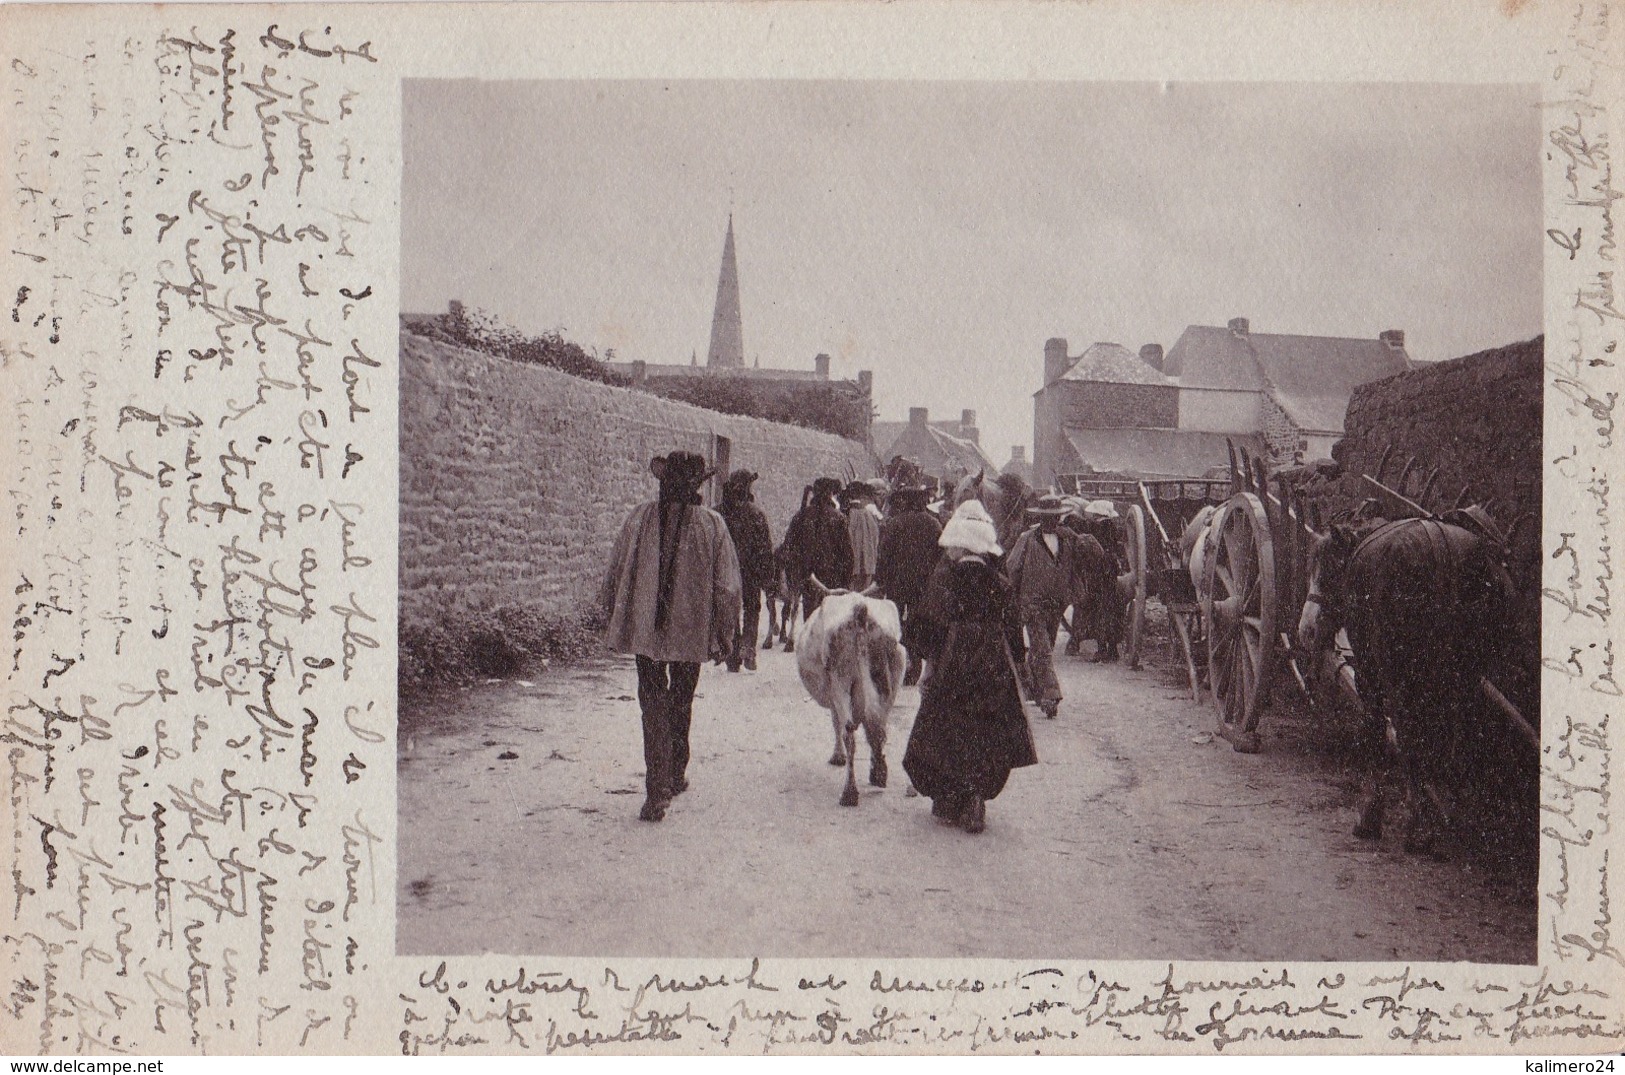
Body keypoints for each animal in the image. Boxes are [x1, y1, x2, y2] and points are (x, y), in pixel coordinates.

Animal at [793, 581, 910, 808]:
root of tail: (859, 610)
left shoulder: (832, 692)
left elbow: (836, 723)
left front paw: (837, 756)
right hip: (892, 675)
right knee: (879, 724)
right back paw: (878, 772)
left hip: (841, 679)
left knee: (849, 731)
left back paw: (849, 792)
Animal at [1287, 513, 1514, 857]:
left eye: (1328, 571)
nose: (1307, 629)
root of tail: (1437, 543)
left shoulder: (1370, 674)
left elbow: (1376, 731)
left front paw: (1370, 816)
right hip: (1466, 675)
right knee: (1456, 734)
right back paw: (1446, 811)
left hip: (1397, 674)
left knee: (1407, 732)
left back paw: (1417, 828)